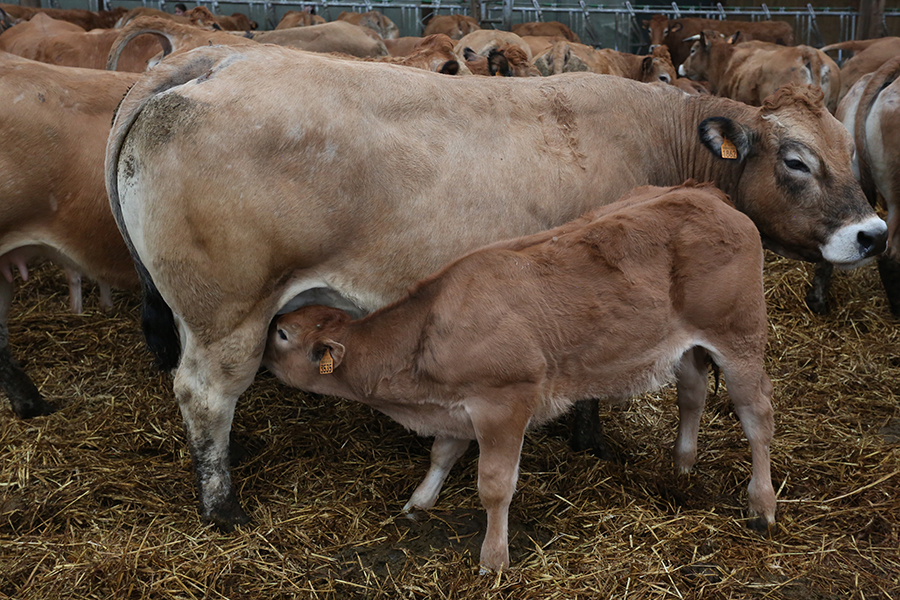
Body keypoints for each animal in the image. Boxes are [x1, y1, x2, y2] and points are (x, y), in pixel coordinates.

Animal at [107, 44, 884, 528]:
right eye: (795, 161)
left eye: (848, 153)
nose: (873, 232)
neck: (657, 136)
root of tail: (213, 60)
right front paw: (591, 440)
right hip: (227, 313)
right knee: (205, 395)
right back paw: (224, 507)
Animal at [264, 183, 776, 572]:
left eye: (283, 333)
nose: (263, 342)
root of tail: (704, 193)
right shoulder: (457, 405)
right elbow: (441, 453)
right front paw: (419, 501)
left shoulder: (504, 402)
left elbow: (494, 486)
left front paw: (493, 559)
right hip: (686, 344)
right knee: (691, 393)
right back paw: (683, 465)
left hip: (739, 335)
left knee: (757, 416)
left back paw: (762, 505)